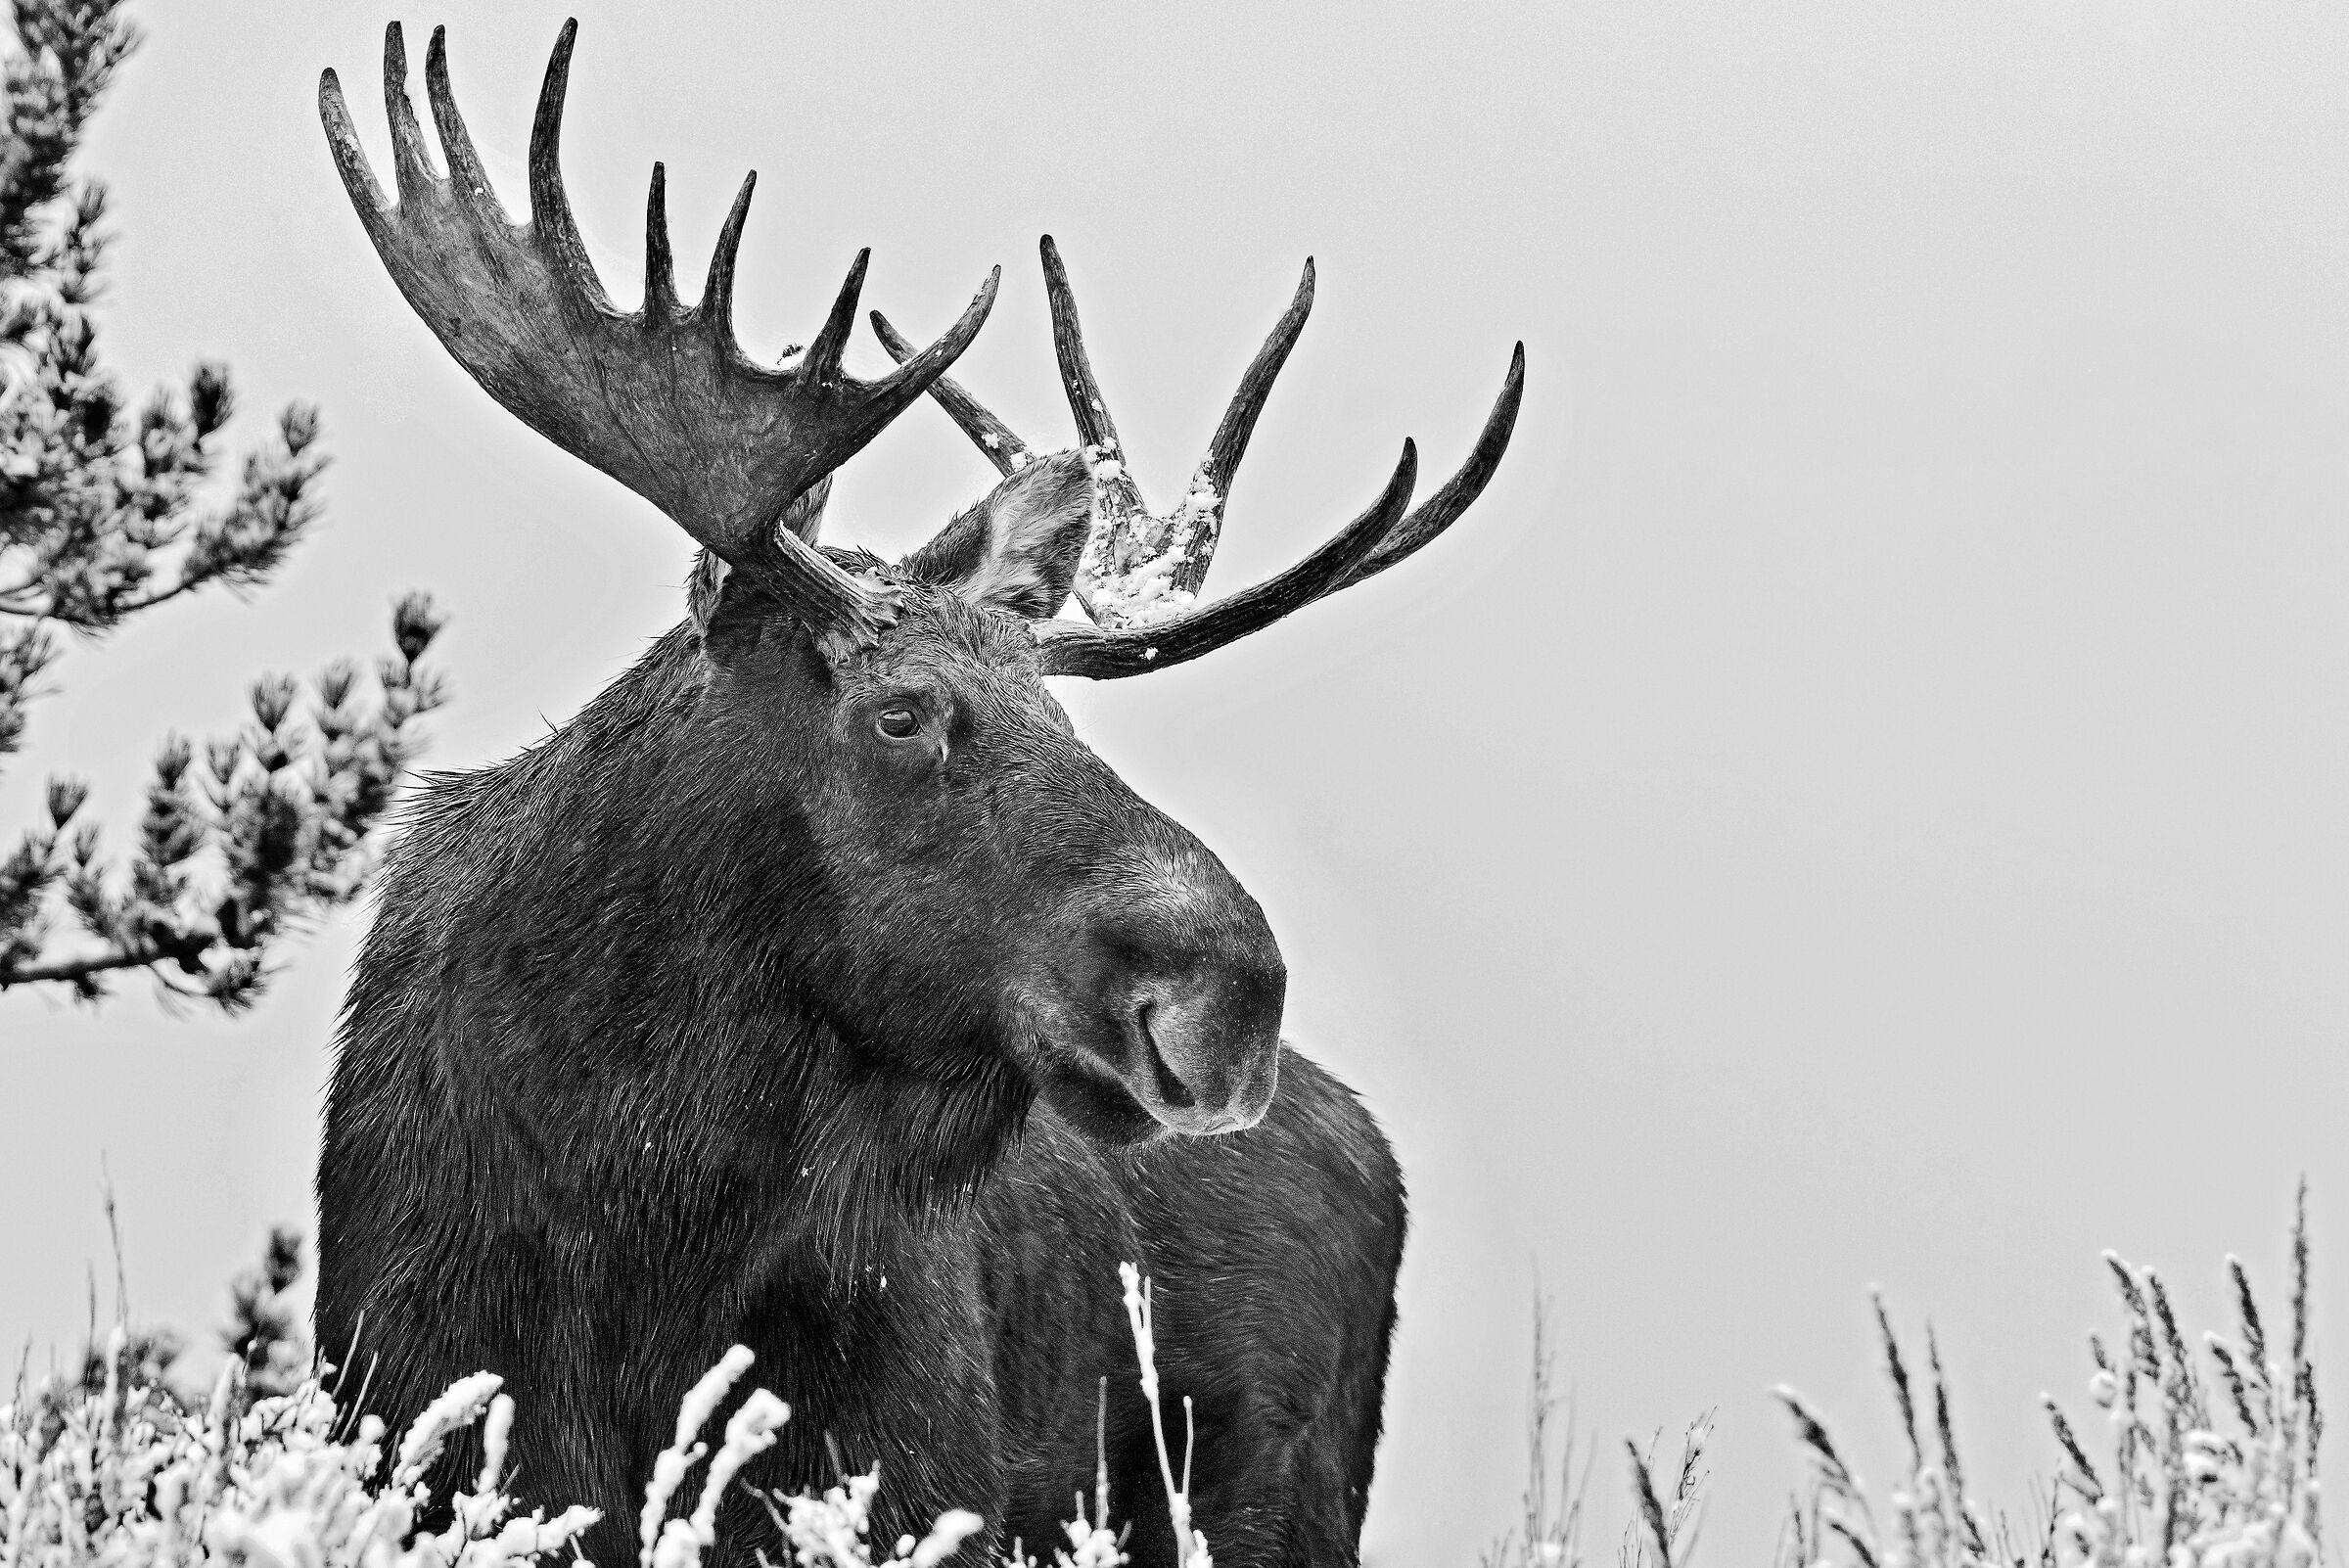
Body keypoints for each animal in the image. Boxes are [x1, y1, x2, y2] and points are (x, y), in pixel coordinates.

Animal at [312, 20, 1522, 1568]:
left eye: (1064, 713)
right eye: (901, 713)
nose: (1233, 993)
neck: (637, 1232)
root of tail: (1373, 1145)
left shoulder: (909, 1477)